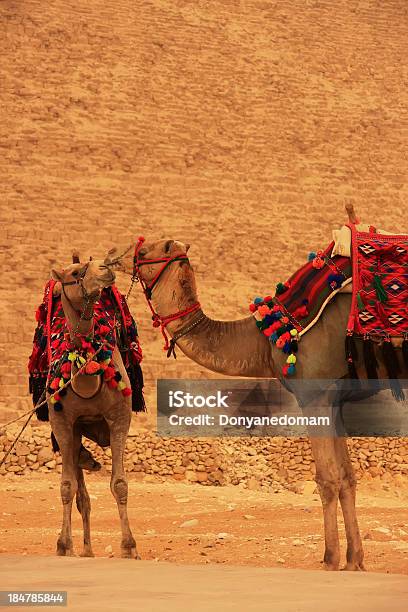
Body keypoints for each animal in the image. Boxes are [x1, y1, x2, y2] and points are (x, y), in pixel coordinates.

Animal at [47, 258, 139, 560]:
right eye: (76, 272)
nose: (105, 268)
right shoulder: (62, 422)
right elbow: (66, 487)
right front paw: (63, 545)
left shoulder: (120, 417)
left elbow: (119, 484)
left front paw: (129, 547)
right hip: (73, 433)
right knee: (80, 493)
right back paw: (82, 548)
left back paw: (88, 549)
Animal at [111, 228, 404, 568]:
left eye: (144, 253)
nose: (109, 256)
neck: (266, 338)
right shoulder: (336, 400)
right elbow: (347, 477)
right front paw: (354, 560)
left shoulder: (315, 395)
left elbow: (327, 479)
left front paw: (330, 559)